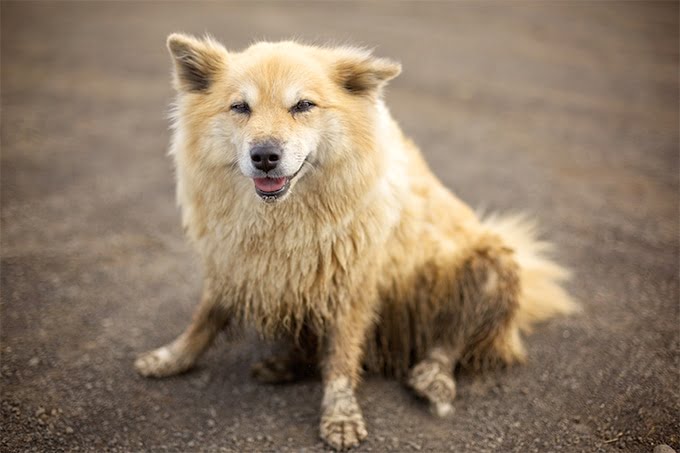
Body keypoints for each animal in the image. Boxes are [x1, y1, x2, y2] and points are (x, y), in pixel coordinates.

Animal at [134, 33, 580, 450]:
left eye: (303, 106)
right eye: (240, 107)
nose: (264, 156)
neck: (283, 218)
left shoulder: (352, 284)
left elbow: (342, 360)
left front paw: (341, 416)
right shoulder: (233, 261)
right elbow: (205, 317)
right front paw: (172, 358)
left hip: (490, 263)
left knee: (449, 340)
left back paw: (433, 378)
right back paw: (285, 364)